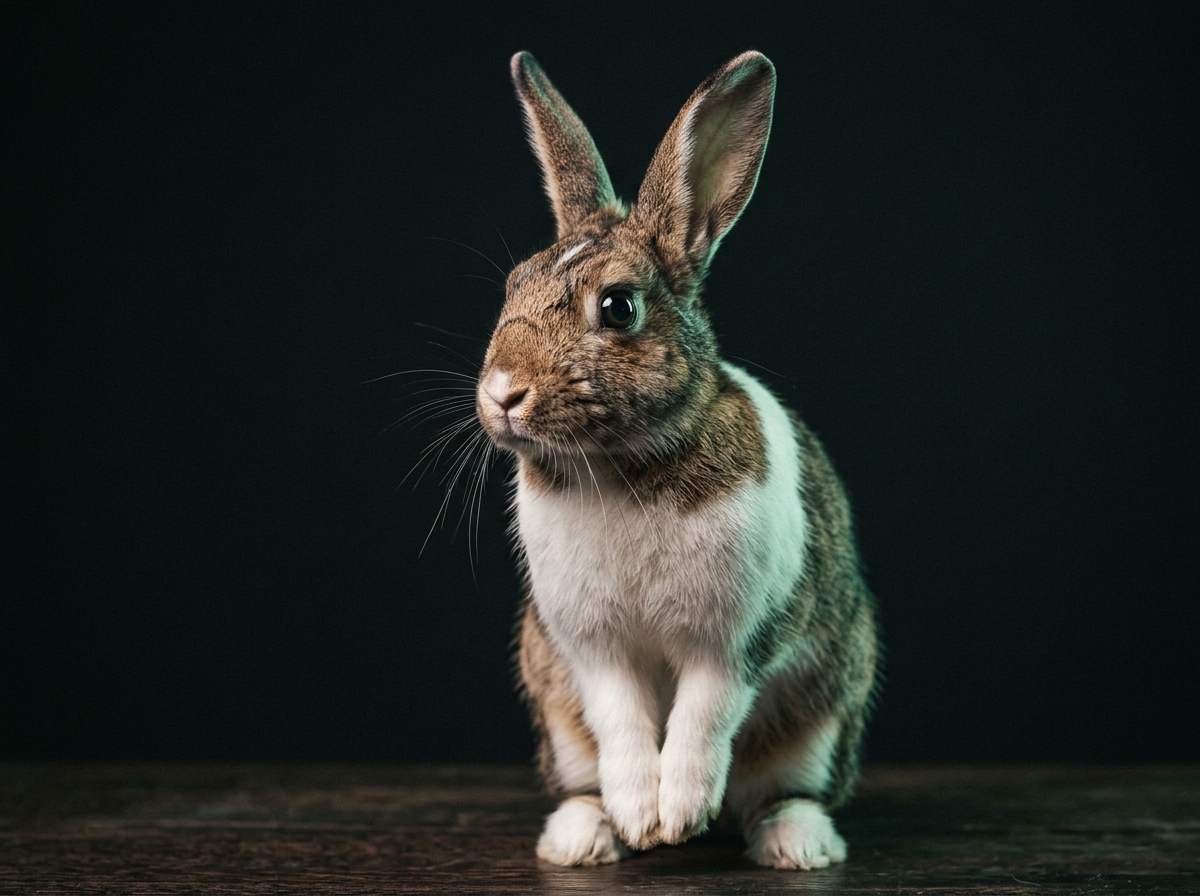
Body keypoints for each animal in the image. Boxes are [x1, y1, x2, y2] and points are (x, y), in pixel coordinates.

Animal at [474, 50, 879, 870]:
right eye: (513, 285)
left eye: (618, 307)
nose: (501, 393)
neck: (618, 469)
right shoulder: (591, 649)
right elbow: (625, 724)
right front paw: (642, 818)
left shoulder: (734, 640)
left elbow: (701, 720)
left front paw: (680, 813)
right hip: (557, 716)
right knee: (586, 777)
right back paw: (582, 839)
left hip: (824, 712)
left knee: (779, 791)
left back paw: (799, 845)